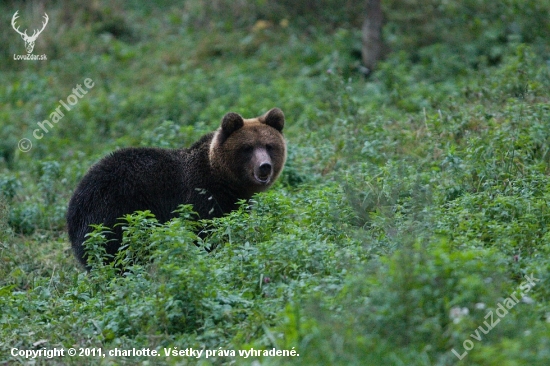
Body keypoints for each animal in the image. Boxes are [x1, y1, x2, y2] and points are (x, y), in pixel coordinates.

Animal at [67, 107, 286, 268]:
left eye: (269, 145)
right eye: (247, 148)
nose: (264, 166)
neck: (225, 180)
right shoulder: (200, 197)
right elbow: (206, 233)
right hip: (112, 209)